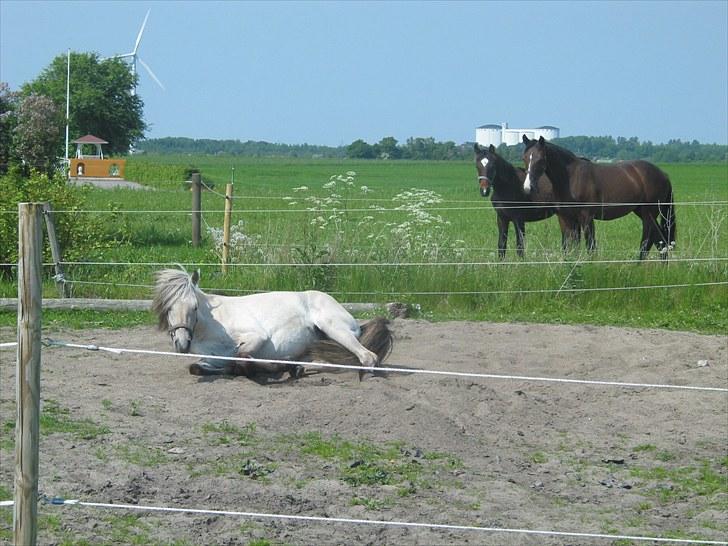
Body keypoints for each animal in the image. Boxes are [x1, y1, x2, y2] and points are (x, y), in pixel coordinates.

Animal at [151, 268, 396, 378]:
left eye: (194, 307)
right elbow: (199, 367)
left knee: (366, 358)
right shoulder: (210, 358)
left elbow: (240, 357)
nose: (182, 344)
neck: (213, 323)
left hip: (334, 329)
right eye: (169, 308)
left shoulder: (256, 337)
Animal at [524, 135, 676, 256]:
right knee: (661, 242)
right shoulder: (565, 219)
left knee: (647, 242)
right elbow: (569, 248)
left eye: (540, 159)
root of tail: (664, 175)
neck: (571, 178)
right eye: (525, 158)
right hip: (643, 212)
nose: (528, 187)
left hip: (648, 214)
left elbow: (590, 247)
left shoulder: (586, 218)